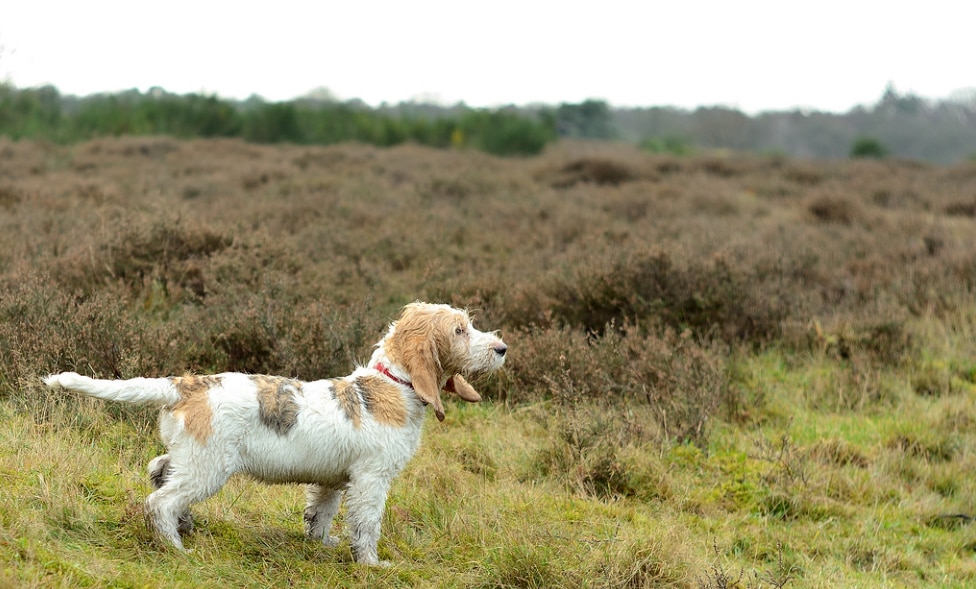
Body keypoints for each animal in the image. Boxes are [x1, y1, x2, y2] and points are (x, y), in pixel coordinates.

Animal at [42, 304, 508, 564]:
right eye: (460, 330)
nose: (502, 349)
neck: (393, 385)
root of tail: (187, 383)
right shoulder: (371, 480)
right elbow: (367, 525)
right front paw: (372, 565)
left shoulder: (332, 482)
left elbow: (319, 516)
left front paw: (321, 545)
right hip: (209, 467)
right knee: (160, 500)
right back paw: (175, 547)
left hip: (190, 455)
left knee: (159, 470)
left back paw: (184, 525)